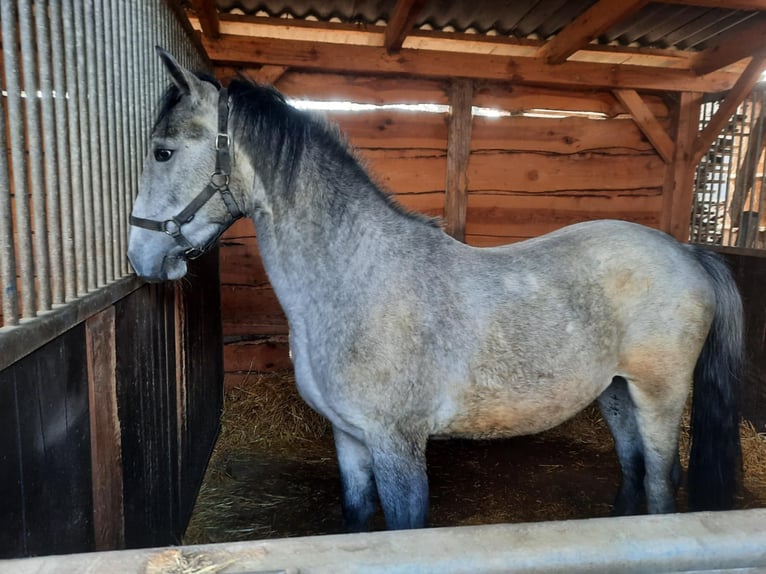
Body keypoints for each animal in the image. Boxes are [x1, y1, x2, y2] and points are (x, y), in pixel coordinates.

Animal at [129, 48, 748, 532]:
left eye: (163, 151)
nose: (141, 257)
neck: (355, 280)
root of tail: (686, 252)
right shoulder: (349, 440)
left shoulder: (397, 446)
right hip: (616, 393)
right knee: (634, 472)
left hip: (659, 396)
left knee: (662, 486)